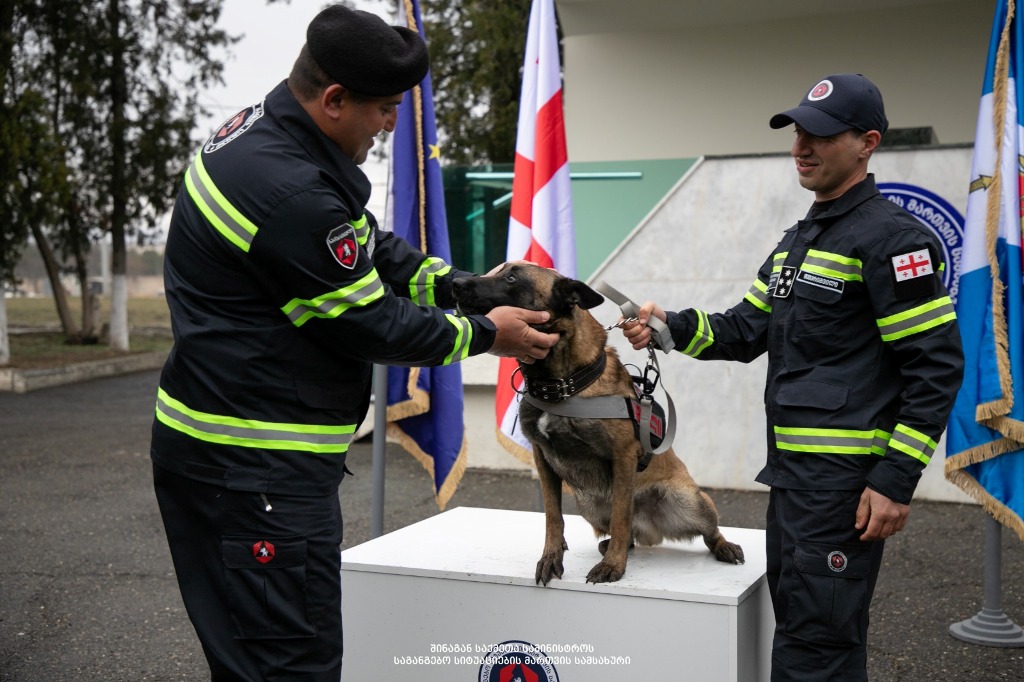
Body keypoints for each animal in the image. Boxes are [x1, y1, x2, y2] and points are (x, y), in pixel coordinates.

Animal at [456, 262, 745, 581]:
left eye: (511, 278)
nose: (455, 283)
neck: (563, 384)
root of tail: (651, 530)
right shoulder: (542, 460)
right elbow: (553, 516)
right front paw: (551, 557)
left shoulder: (623, 456)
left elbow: (620, 515)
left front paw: (613, 566)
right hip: (590, 505)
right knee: (629, 533)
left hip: (689, 498)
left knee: (706, 531)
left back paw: (723, 546)